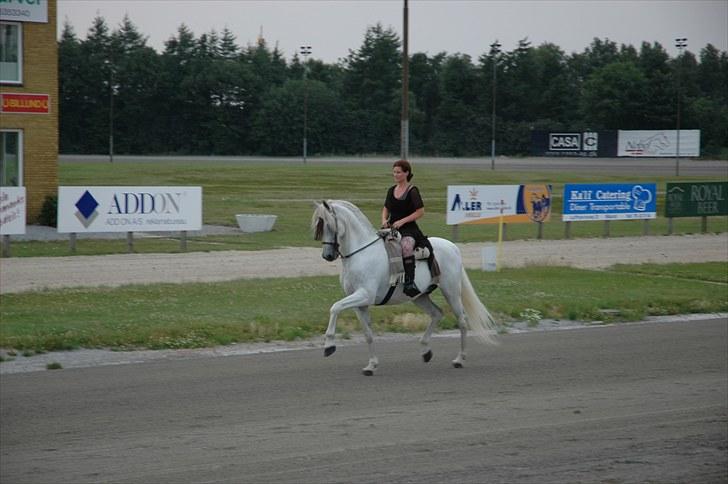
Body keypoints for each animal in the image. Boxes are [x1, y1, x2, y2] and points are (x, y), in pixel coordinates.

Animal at [310, 199, 498, 376]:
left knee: (462, 321)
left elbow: (335, 307)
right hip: (420, 296)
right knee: (437, 313)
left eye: (328, 224)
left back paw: (459, 359)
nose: (327, 255)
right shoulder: (359, 303)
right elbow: (368, 334)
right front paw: (371, 366)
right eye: (319, 225)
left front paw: (329, 345)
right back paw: (426, 350)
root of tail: (453, 247)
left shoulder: (364, 295)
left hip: (451, 292)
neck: (361, 254)